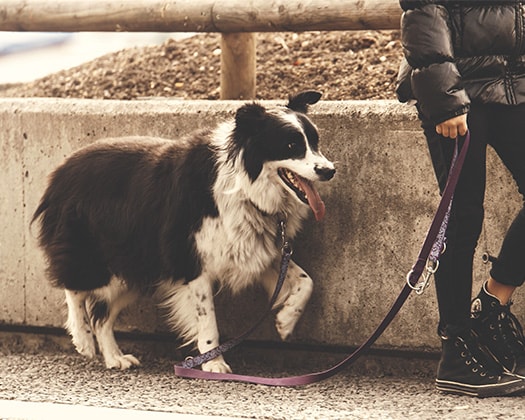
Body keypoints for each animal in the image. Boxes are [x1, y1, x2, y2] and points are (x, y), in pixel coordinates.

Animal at [32, 91, 334, 370]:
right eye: (291, 145)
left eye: (315, 142)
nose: (329, 171)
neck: (244, 186)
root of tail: (59, 173)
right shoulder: (192, 260)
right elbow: (208, 319)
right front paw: (214, 364)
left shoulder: (254, 249)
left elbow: (306, 280)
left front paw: (285, 321)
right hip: (95, 252)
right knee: (74, 288)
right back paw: (83, 338)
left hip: (137, 265)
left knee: (102, 315)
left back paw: (115, 357)